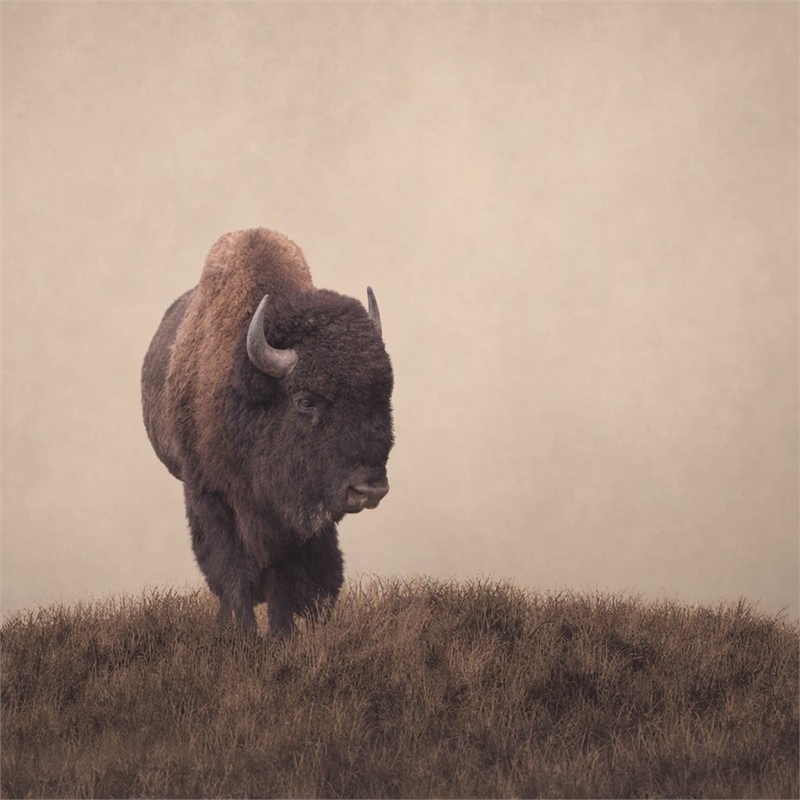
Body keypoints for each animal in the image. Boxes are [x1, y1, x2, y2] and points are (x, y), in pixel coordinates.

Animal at [141, 229, 394, 634]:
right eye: (305, 400)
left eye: (383, 394)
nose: (369, 490)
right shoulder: (209, 494)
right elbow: (232, 571)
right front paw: (244, 634)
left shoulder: (288, 517)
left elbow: (282, 574)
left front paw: (282, 633)